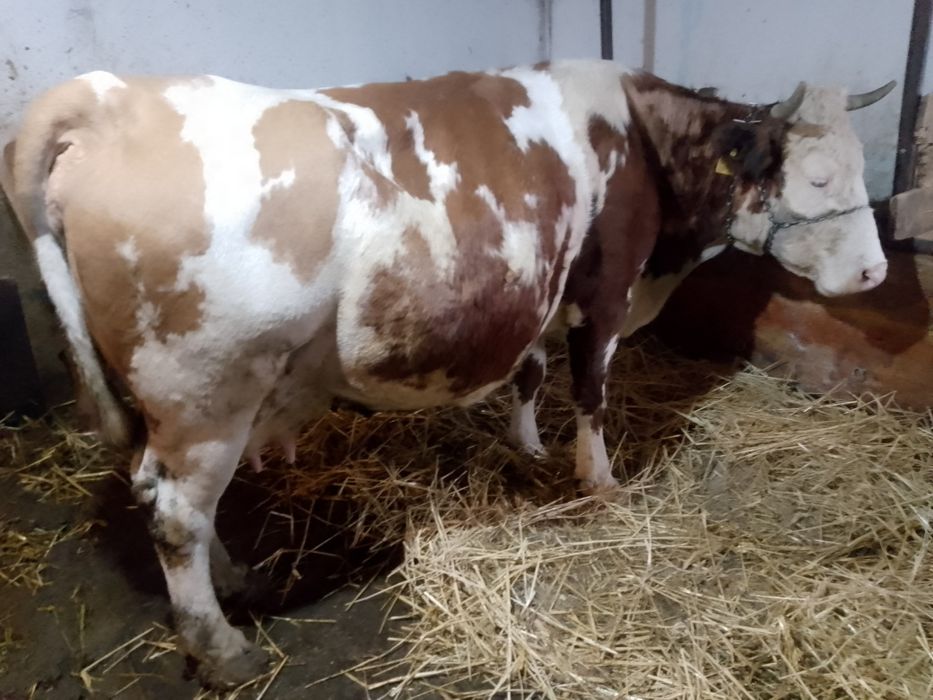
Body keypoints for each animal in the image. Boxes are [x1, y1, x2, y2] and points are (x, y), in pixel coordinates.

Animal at [1, 60, 894, 685]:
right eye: (816, 177)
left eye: (859, 168)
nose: (875, 274)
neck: (642, 141)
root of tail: (109, 97)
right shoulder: (603, 291)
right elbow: (592, 393)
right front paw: (599, 480)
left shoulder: (535, 286)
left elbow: (531, 374)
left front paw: (528, 447)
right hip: (206, 390)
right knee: (176, 513)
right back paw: (222, 646)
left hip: (174, 402)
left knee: (167, 493)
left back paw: (233, 578)